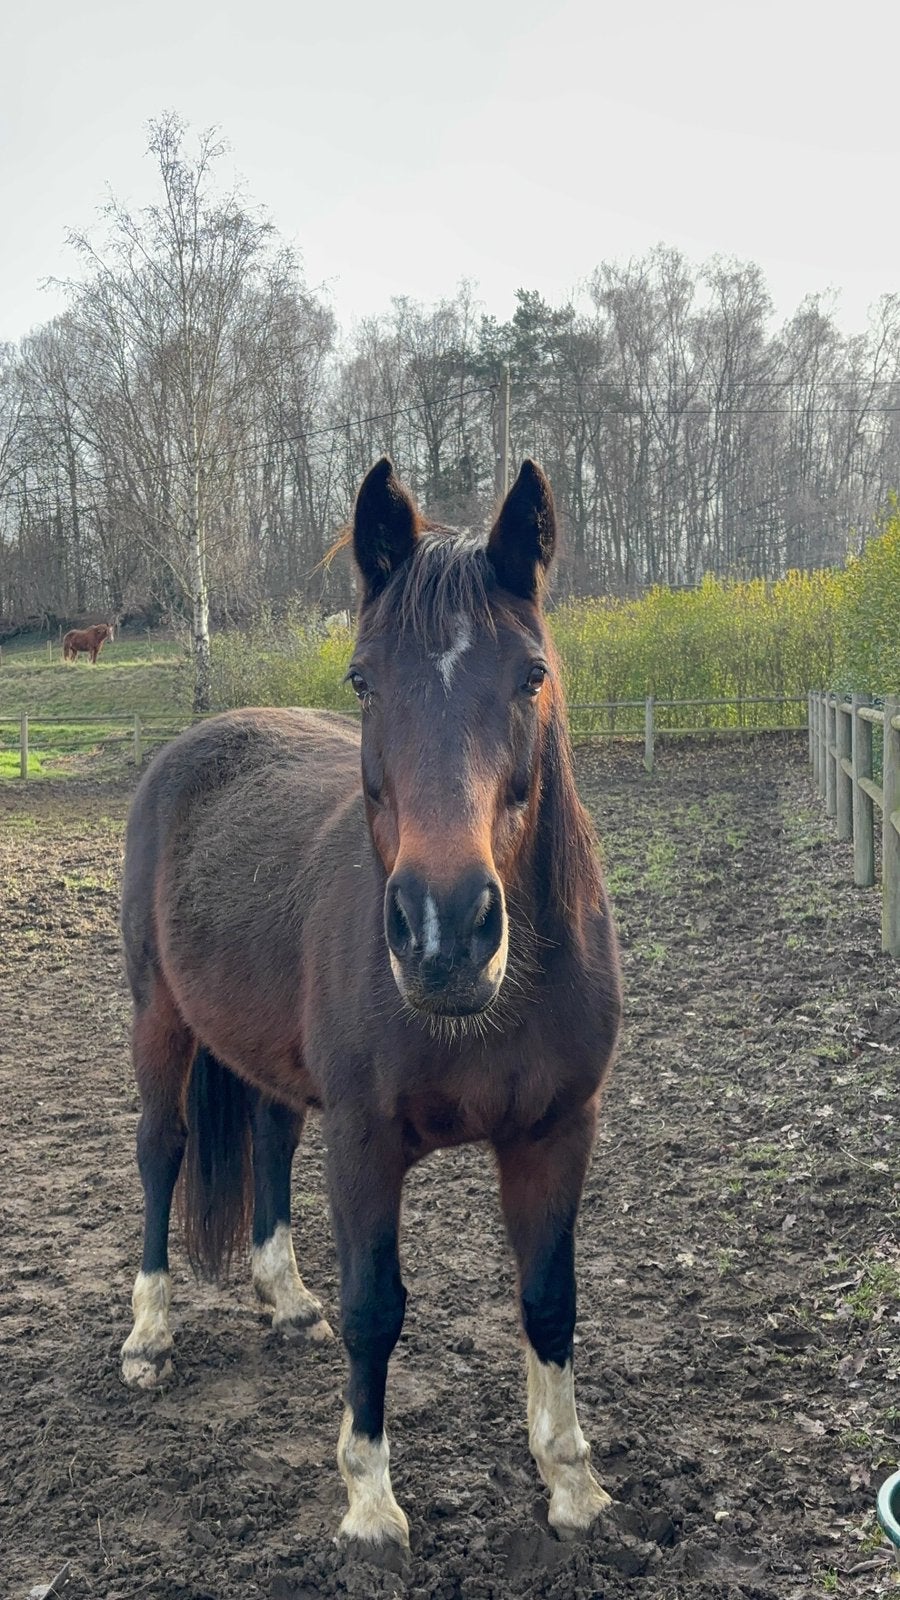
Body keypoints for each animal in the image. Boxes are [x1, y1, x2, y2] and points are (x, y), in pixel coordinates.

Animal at [119, 458, 622, 1552]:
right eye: (362, 679)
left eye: (531, 674)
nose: (444, 931)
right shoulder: (364, 1138)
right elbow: (374, 1308)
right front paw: (368, 1498)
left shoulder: (558, 1131)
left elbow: (549, 1299)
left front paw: (570, 1480)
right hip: (158, 1021)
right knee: (160, 1150)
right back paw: (147, 1331)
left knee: (267, 1136)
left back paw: (282, 1295)